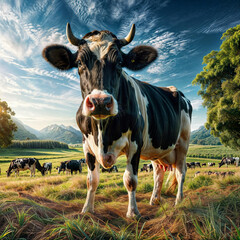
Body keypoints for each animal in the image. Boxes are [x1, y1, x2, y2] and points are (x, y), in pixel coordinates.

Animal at [42, 23, 192, 218]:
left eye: (120, 63)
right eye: (80, 63)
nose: (99, 102)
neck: (103, 131)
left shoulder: (135, 142)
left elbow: (130, 180)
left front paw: (133, 213)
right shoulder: (86, 144)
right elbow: (91, 180)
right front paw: (87, 209)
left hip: (183, 142)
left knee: (181, 172)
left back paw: (178, 201)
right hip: (156, 148)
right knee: (158, 172)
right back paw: (154, 200)